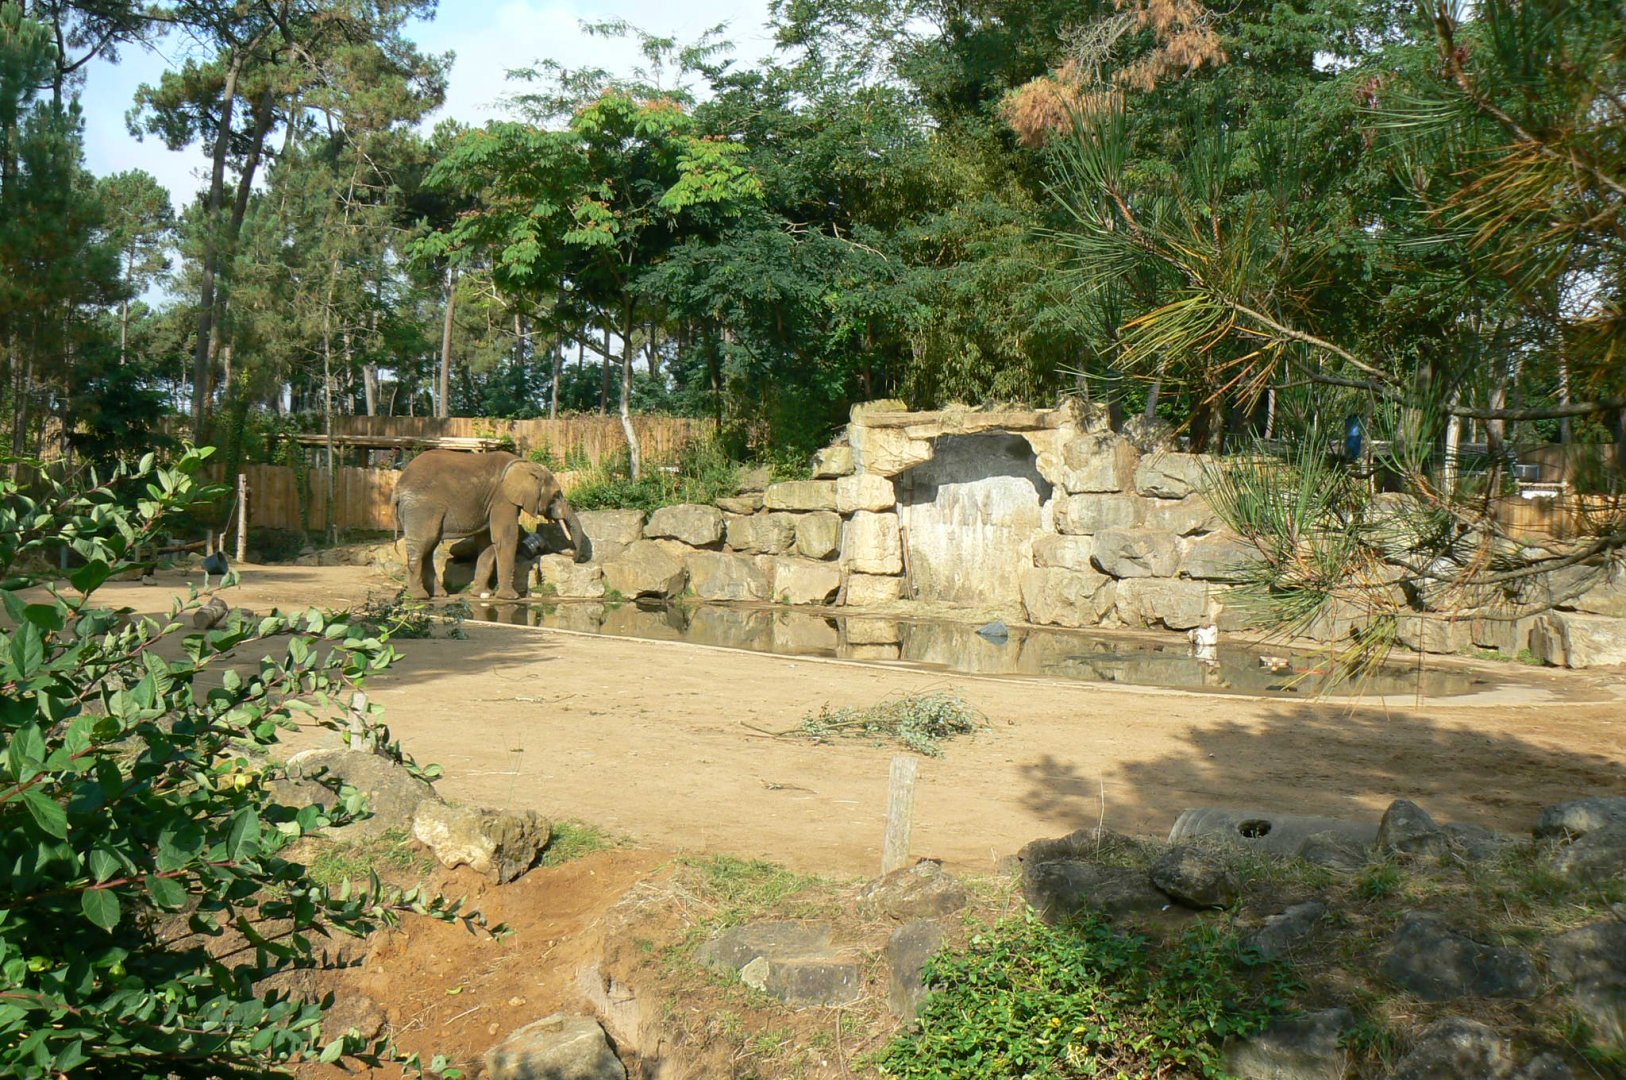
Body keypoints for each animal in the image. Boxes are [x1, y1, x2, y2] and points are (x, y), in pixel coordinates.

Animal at [391, 450, 589, 600]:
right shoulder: (503, 499)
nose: (574, 558)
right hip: (422, 508)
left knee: (428, 547)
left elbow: (487, 543)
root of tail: (398, 486)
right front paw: (510, 597)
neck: (525, 465)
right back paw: (419, 597)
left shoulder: (490, 503)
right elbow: (506, 537)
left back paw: (439, 594)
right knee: (422, 545)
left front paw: (481, 593)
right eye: (556, 495)